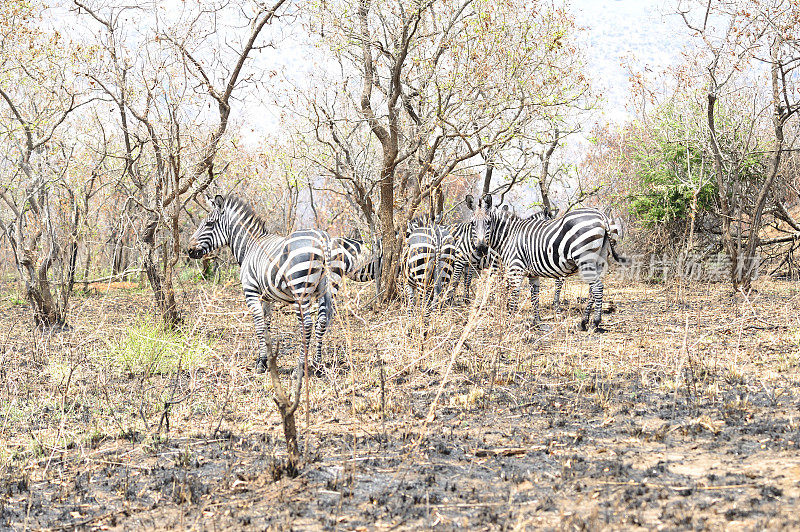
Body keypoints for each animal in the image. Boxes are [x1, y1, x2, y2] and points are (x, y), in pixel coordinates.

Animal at [188, 194, 340, 374]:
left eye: (209, 224)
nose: (189, 250)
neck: (249, 246)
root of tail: (322, 238)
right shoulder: (266, 297)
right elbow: (267, 325)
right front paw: (267, 359)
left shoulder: (251, 291)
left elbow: (259, 325)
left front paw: (261, 363)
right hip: (326, 288)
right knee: (321, 321)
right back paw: (317, 365)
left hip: (300, 289)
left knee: (307, 324)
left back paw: (300, 367)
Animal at [488, 206, 624, 330]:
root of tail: (603, 217)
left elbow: (556, 286)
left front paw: (556, 309)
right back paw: (585, 321)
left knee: (595, 287)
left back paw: (592, 322)